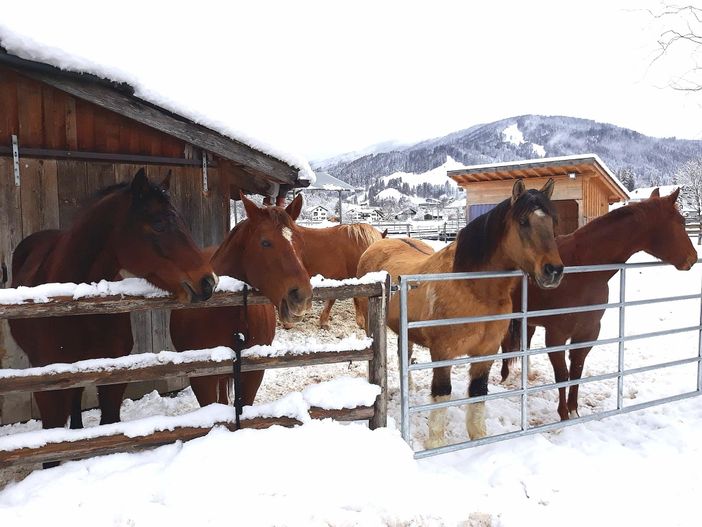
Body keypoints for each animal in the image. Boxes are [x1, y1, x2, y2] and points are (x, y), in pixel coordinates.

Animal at [360, 179, 564, 448]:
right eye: (523, 221)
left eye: (553, 221)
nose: (554, 271)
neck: (471, 288)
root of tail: (378, 244)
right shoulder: (443, 353)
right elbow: (442, 393)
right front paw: (435, 442)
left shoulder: (486, 352)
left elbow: (478, 391)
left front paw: (478, 437)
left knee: (405, 356)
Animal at [500, 188, 700, 422]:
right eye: (681, 221)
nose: (693, 258)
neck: (584, 271)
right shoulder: (556, 335)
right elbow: (562, 374)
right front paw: (563, 415)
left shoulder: (588, 332)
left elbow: (576, 371)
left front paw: (574, 411)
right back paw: (504, 377)